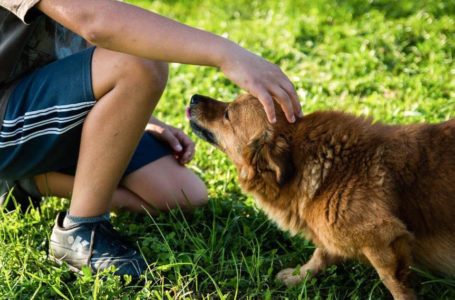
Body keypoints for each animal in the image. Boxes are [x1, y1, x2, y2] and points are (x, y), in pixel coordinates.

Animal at [188, 93, 455, 298]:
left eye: (227, 114)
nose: (193, 97)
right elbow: (320, 255)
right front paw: (298, 276)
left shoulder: (383, 239)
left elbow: (395, 285)